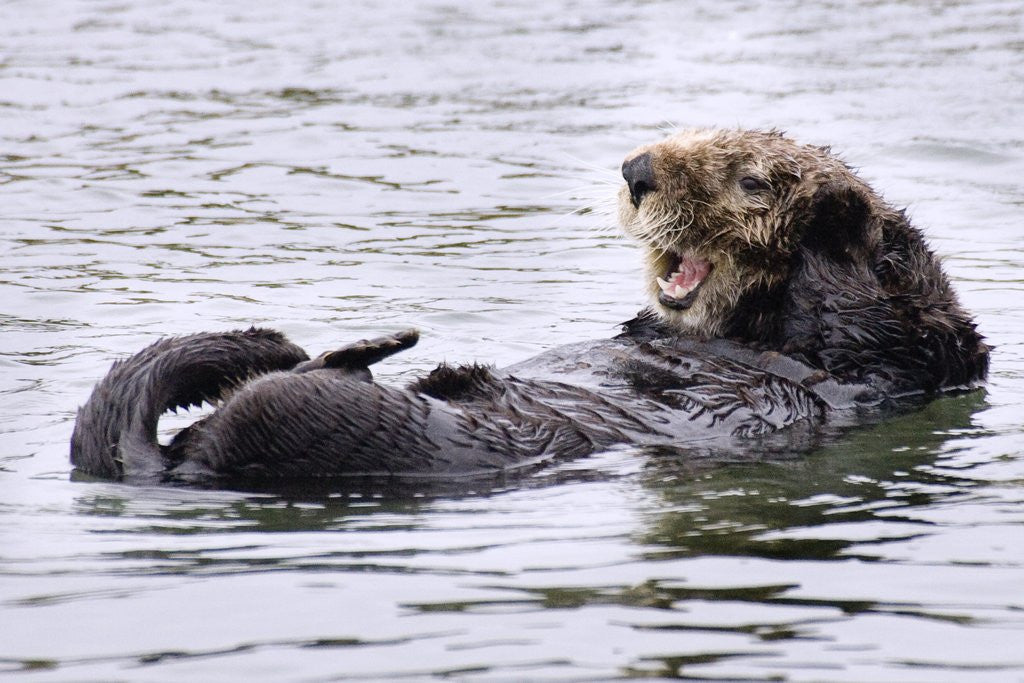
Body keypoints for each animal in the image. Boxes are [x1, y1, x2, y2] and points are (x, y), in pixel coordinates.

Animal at [70, 129, 989, 486]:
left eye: (749, 180)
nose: (638, 170)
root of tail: (179, 466)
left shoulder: (887, 361)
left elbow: (874, 310)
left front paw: (835, 208)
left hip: (338, 431)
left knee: (288, 395)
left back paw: (371, 350)